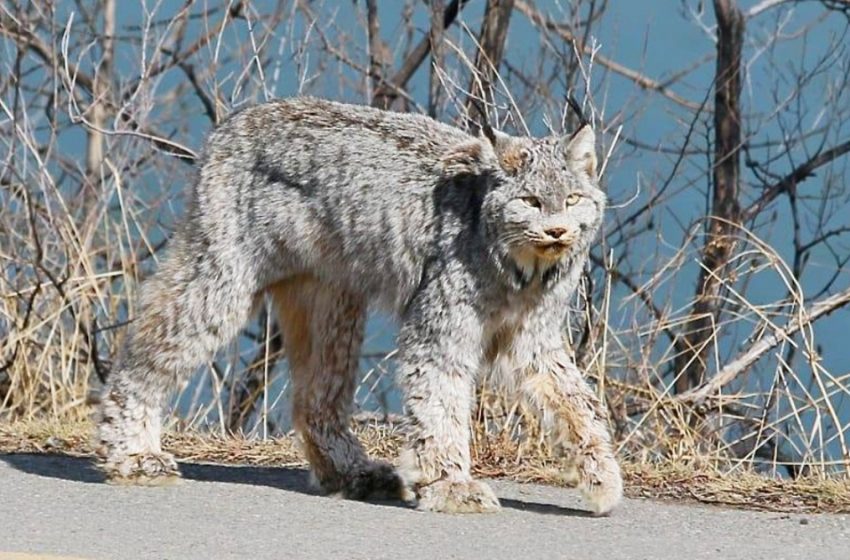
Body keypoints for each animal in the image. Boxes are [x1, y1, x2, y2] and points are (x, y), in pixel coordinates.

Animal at [96, 94, 620, 516]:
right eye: (530, 201)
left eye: (573, 199)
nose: (557, 232)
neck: (520, 270)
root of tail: (239, 118)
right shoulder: (439, 331)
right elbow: (442, 406)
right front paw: (452, 486)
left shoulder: (533, 339)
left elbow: (579, 401)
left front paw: (603, 476)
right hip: (224, 275)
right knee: (150, 336)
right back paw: (131, 452)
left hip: (331, 296)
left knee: (312, 396)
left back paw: (352, 474)